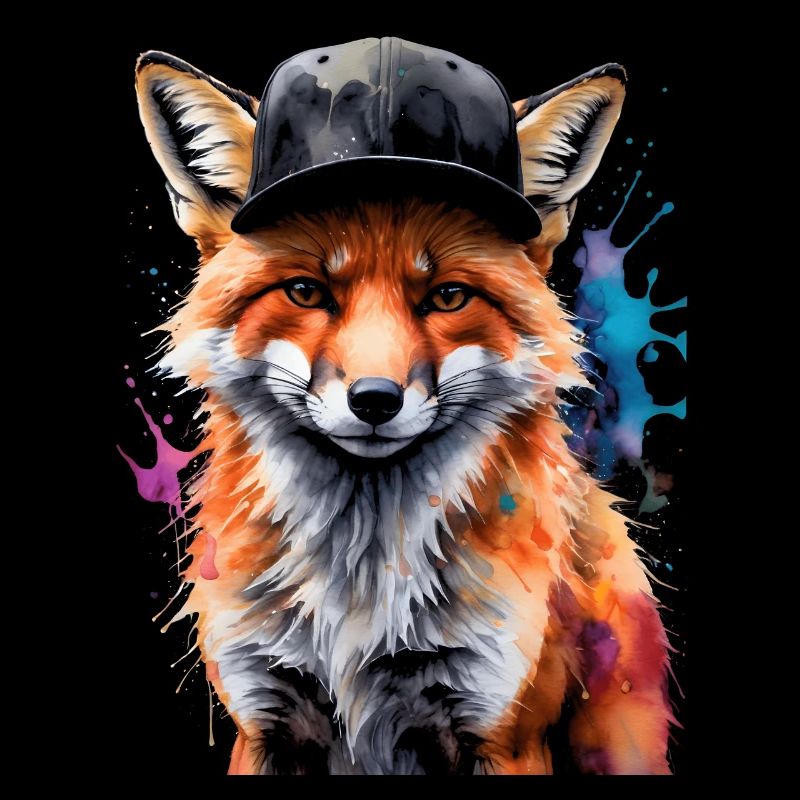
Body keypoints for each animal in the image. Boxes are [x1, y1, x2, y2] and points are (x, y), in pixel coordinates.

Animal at [134, 44, 674, 775]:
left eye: (447, 297)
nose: (374, 400)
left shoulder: (501, 731)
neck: (360, 587)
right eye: (305, 292)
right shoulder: (264, 720)